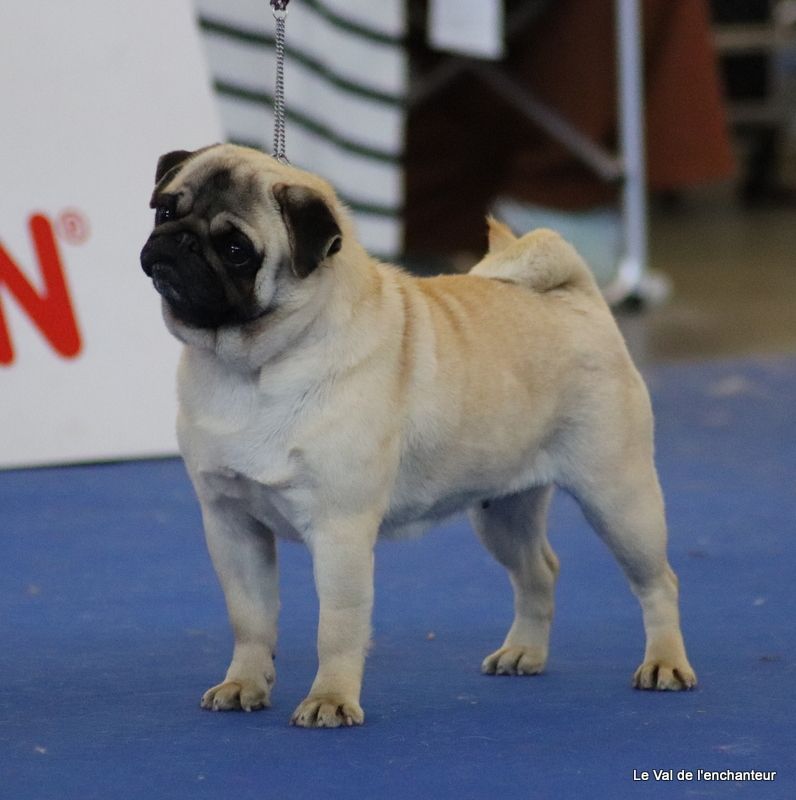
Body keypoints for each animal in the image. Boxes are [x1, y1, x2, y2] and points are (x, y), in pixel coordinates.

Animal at [140, 142, 692, 724]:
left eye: (236, 249)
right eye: (166, 210)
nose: (178, 240)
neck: (250, 368)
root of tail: (575, 298)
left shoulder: (340, 531)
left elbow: (336, 627)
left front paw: (331, 698)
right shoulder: (232, 526)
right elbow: (250, 619)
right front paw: (244, 683)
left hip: (619, 499)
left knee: (658, 583)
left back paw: (664, 663)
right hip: (503, 512)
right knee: (539, 572)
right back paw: (524, 652)